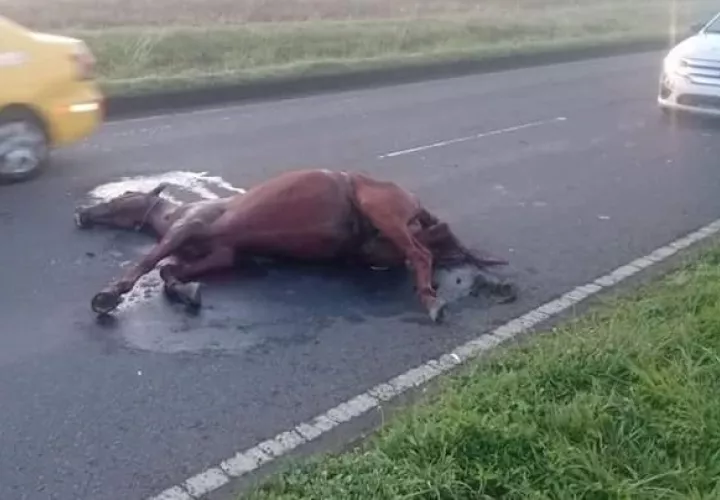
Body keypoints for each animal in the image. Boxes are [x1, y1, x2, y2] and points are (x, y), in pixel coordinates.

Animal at [74, 169, 515, 322]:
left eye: (124, 194)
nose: (81, 213)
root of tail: (414, 200)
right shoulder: (224, 254)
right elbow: (171, 271)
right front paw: (189, 292)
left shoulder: (186, 228)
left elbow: (149, 263)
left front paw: (108, 296)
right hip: (374, 247)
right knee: (442, 245)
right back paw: (494, 283)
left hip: (379, 211)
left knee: (422, 255)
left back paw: (433, 300)